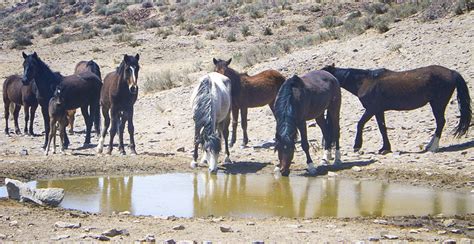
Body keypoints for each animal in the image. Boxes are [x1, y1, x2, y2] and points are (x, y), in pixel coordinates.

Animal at [322, 63, 470, 153]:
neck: (364, 81)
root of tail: (452, 72)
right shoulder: (378, 111)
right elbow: (382, 128)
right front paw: (385, 148)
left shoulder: (371, 109)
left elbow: (360, 124)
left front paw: (357, 146)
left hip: (438, 104)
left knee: (440, 122)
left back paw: (433, 147)